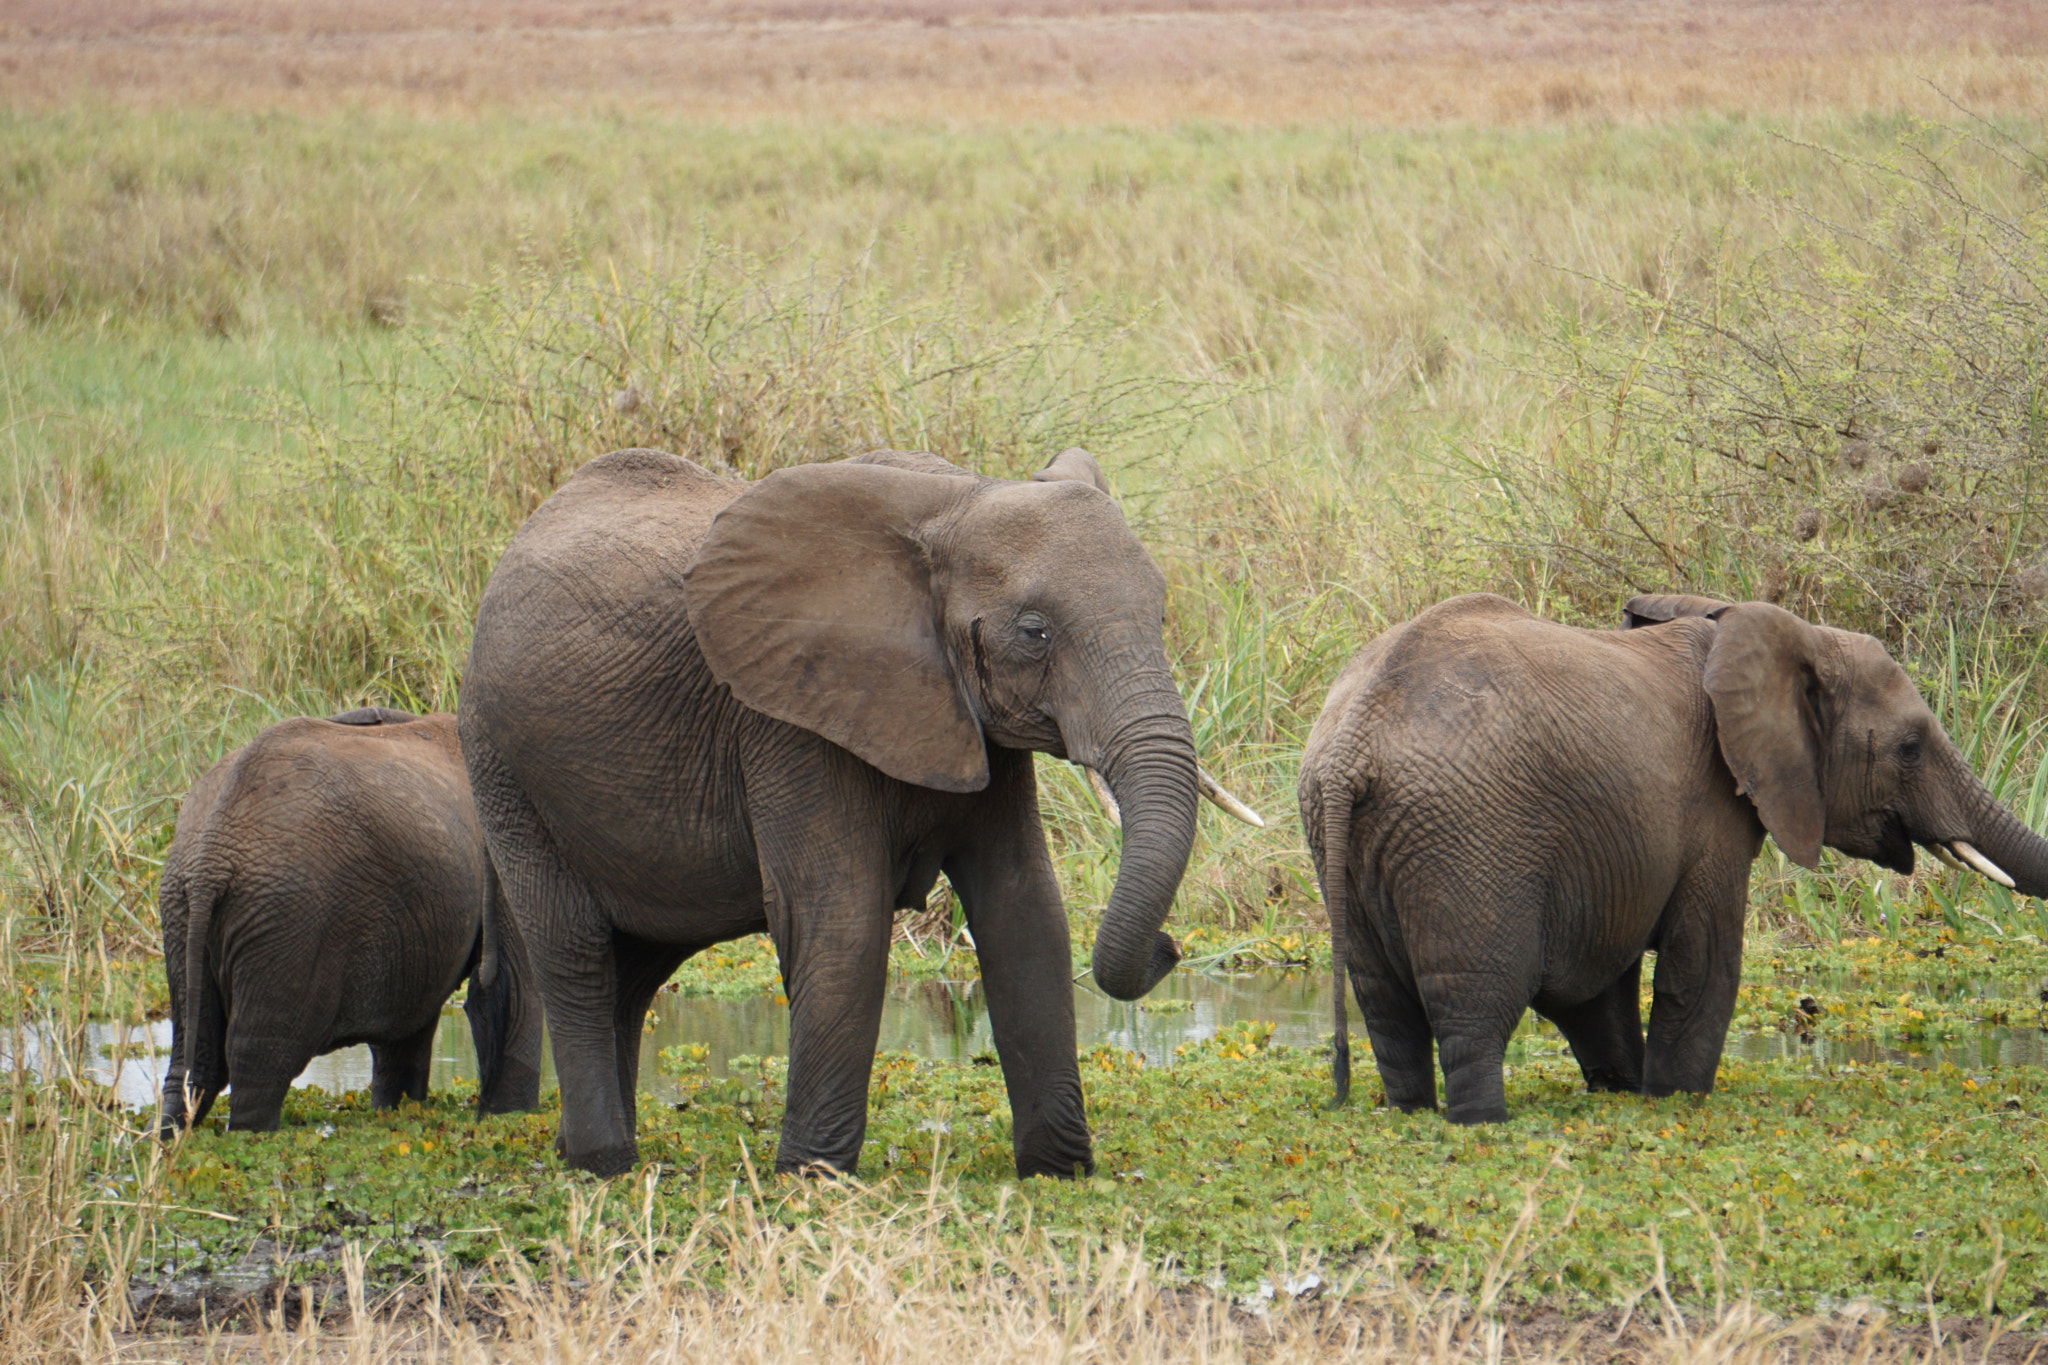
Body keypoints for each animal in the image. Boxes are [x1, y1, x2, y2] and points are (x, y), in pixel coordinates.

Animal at [155, 712, 540, 1137]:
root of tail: (212, 855)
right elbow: (513, 989)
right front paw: (512, 1119)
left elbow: (410, 1022)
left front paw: (397, 1112)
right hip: (291, 920)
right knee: (260, 1059)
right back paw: (253, 1134)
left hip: (183, 909)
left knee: (196, 1061)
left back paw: (170, 1137)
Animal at [458, 446, 1253, 1178]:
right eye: (1035, 632)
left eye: (1160, 612)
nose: (1171, 947)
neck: (959, 498)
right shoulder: (789, 718)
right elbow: (842, 918)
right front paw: (812, 1180)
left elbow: (1024, 910)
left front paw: (1058, 1173)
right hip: (503, 766)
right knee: (575, 952)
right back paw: (606, 1163)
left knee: (636, 968)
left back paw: (585, 1151)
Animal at [1302, 593, 2039, 1129]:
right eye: (1910, 747)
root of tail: (1352, 748)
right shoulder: (1711, 808)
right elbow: (1705, 963)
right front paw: (1676, 1099)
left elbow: (1602, 983)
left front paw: (1624, 1091)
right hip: (1467, 841)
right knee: (1477, 1009)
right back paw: (1483, 1122)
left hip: (1351, 846)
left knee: (1387, 1008)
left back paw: (1410, 1112)